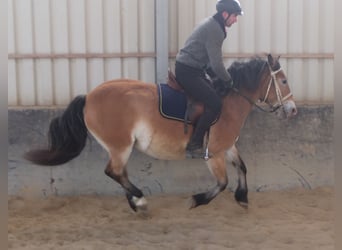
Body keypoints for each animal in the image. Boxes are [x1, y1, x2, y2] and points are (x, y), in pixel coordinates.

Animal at [24, 54, 296, 213]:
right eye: (283, 81)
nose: (292, 110)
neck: (228, 101)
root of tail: (89, 96)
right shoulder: (214, 153)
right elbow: (221, 183)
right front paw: (197, 200)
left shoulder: (227, 147)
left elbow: (243, 167)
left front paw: (243, 198)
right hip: (120, 145)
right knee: (114, 172)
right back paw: (140, 199)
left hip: (120, 147)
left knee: (119, 173)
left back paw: (135, 203)